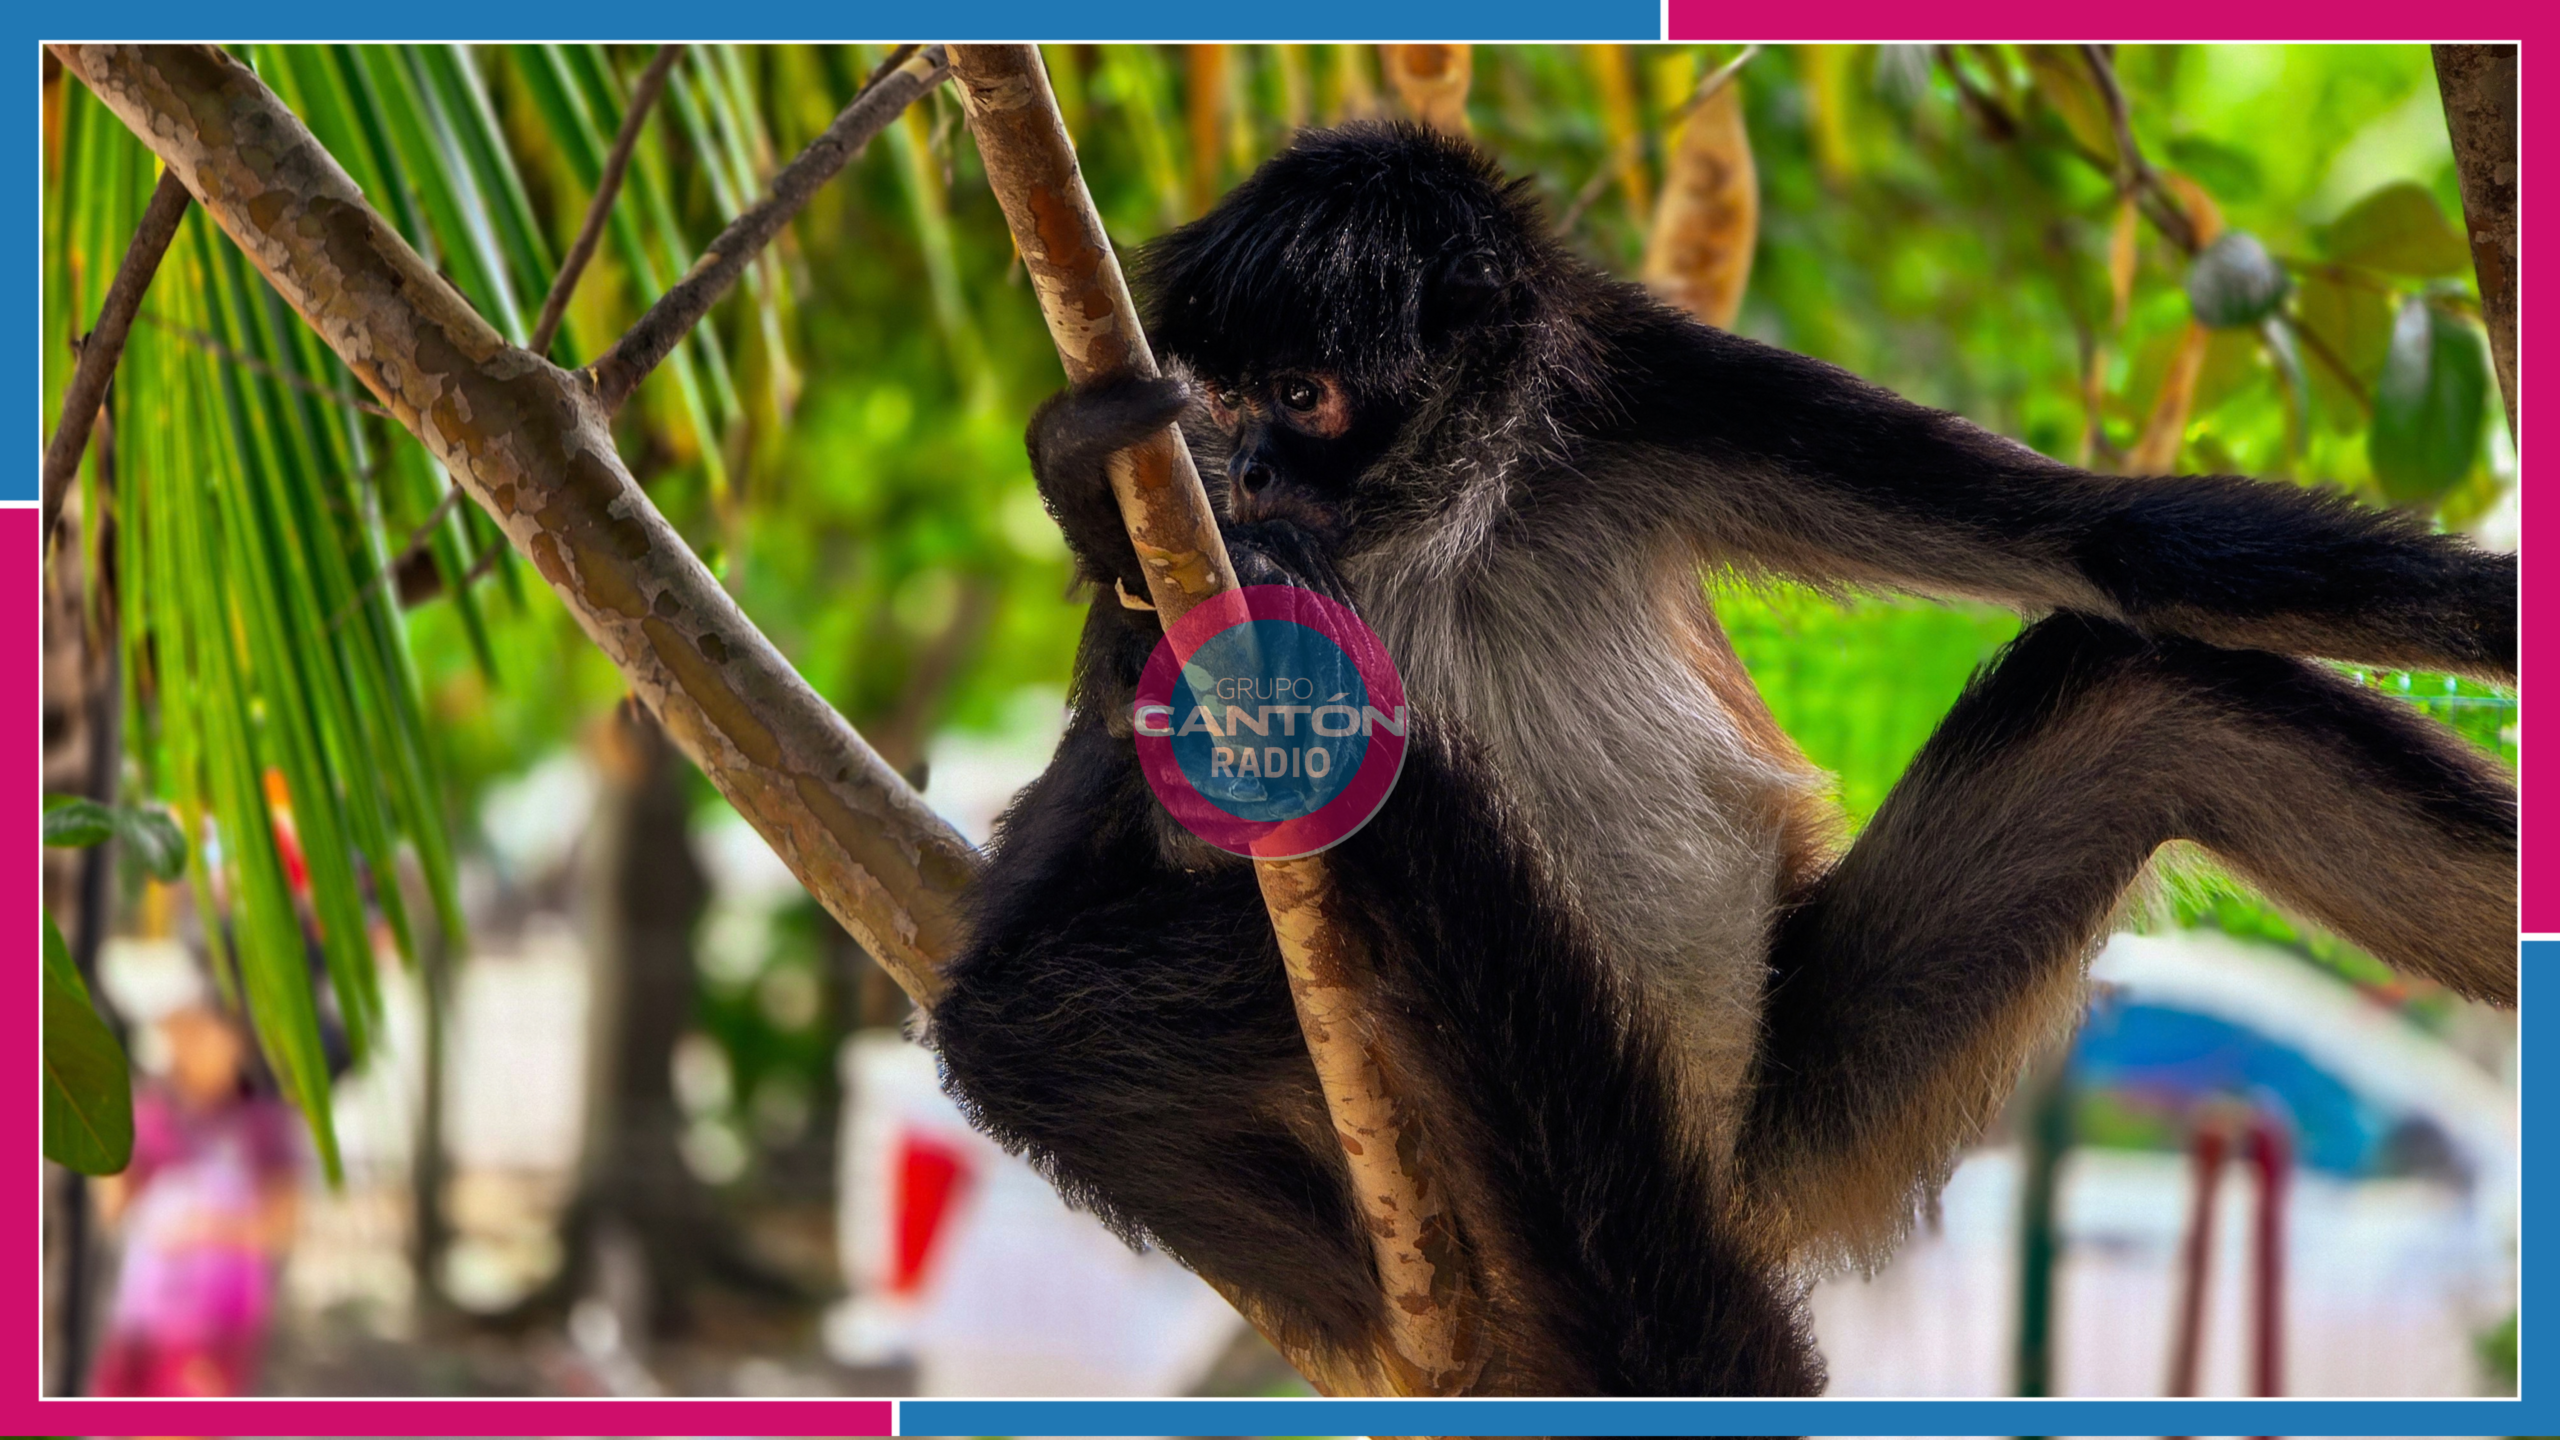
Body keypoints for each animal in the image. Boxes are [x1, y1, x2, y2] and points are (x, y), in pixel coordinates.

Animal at [926, 122, 2518, 1395]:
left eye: (1303, 396)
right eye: (1223, 395)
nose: (1245, 468)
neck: (1434, 522)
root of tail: (1729, 1186)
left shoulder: (1646, 394)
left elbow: (2109, 540)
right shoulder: (1191, 532)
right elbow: (1025, 915)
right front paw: (1083, 502)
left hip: (1805, 1100)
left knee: (2158, 701)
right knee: (1027, 1028)